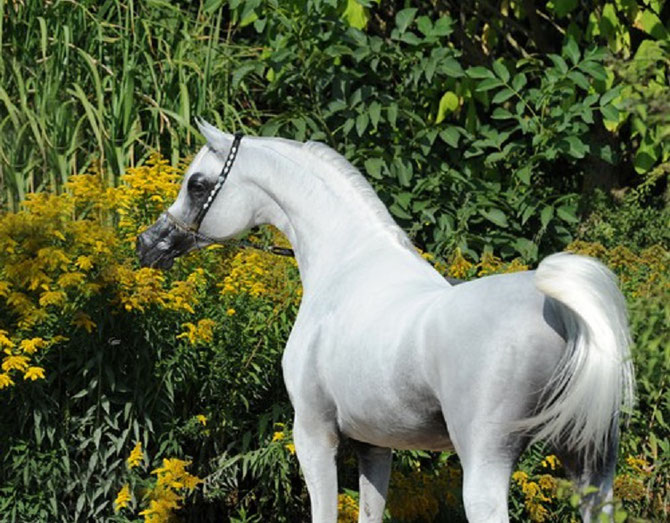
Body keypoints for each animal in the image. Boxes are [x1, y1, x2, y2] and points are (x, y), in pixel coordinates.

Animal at [135, 119, 636, 523]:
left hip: (486, 464)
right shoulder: (374, 445)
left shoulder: (313, 434)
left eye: (197, 185)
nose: (149, 244)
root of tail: (563, 314)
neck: (347, 263)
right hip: (591, 465)